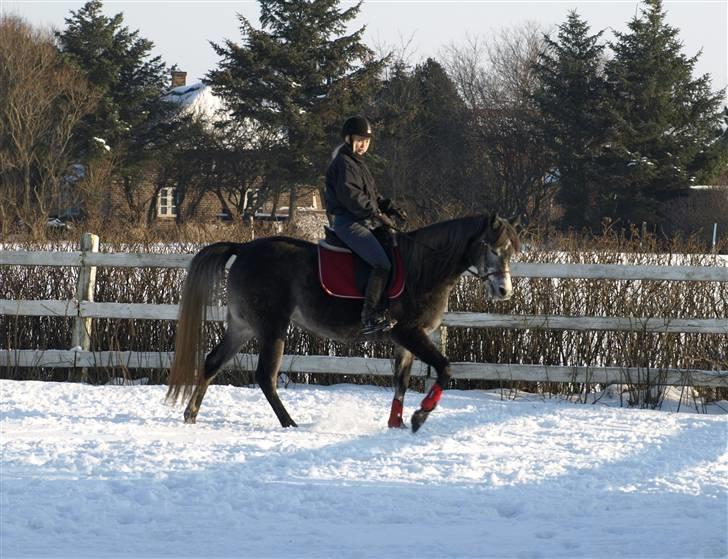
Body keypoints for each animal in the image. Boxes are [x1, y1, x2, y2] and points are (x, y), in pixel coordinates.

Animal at [166, 214, 516, 434]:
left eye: (512, 251)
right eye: (490, 246)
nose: (504, 291)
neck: (424, 268)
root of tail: (244, 247)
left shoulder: (404, 342)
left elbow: (400, 382)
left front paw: (397, 423)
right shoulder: (410, 333)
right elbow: (445, 368)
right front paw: (420, 416)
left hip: (243, 326)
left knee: (212, 363)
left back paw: (191, 415)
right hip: (272, 328)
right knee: (265, 377)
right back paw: (290, 424)